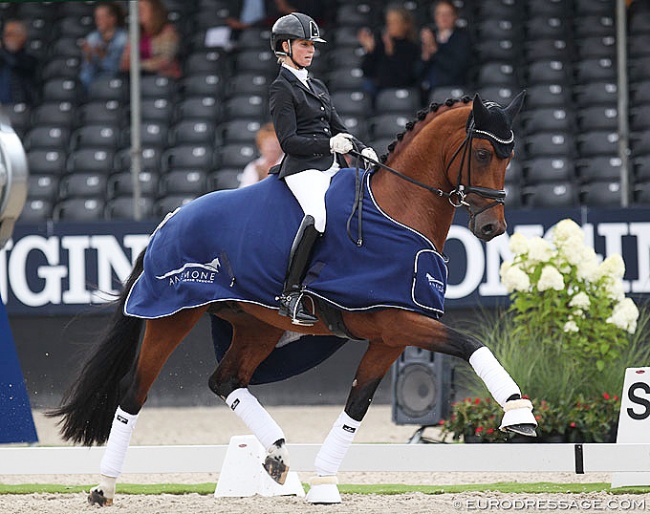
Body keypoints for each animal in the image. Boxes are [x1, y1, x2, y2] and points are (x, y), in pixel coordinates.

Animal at [50, 92, 536, 504]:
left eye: (509, 157)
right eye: (482, 154)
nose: (492, 227)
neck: (397, 210)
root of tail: (170, 218)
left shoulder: (390, 336)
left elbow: (356, 406)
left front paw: (323, 483)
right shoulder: (395, 322)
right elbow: (472, 344)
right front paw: (518, 413)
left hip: (256, 325)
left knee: (225, 380)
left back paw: (278, 456)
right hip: (171, 315)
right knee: (134, 392)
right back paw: (104, 487)